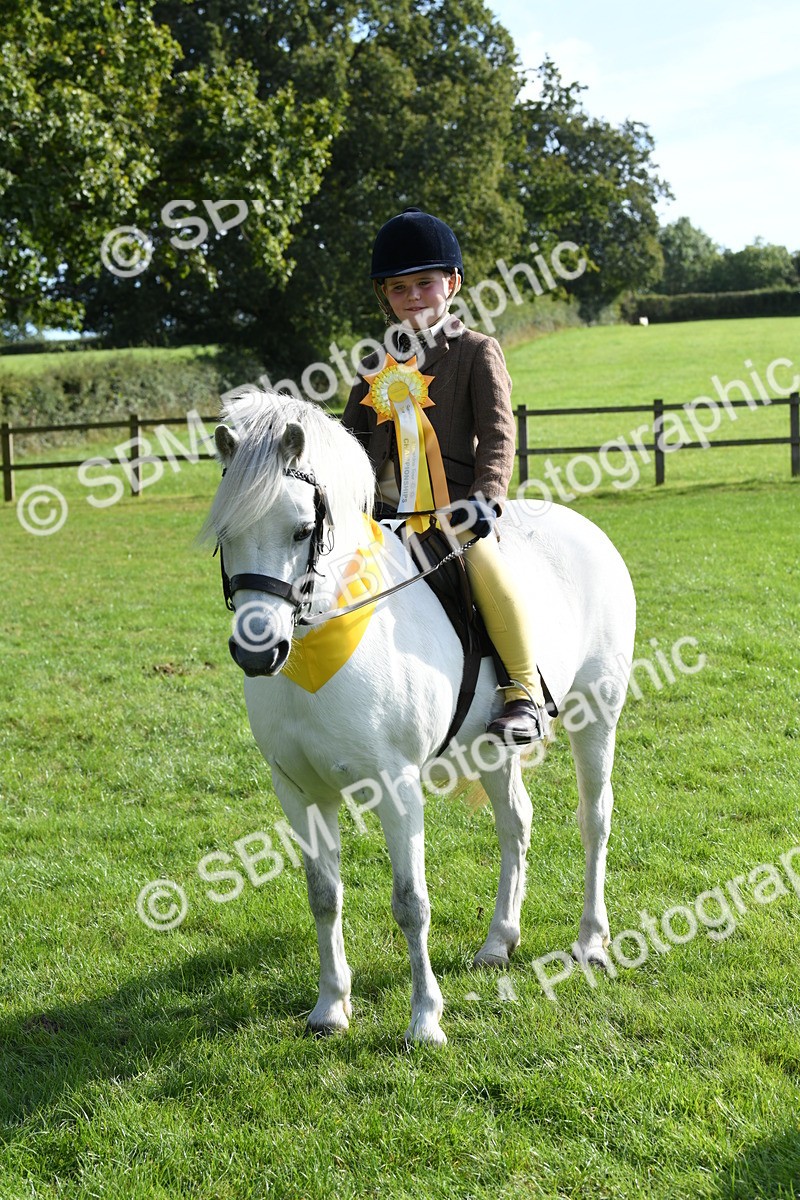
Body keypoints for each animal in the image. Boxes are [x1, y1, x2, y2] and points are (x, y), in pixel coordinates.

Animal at [202, 391, 636, 1045]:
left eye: (302, 529)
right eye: (227, 532)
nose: (258, 652)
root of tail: (585, 530)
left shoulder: (396, 785)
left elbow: (411, 902)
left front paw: (425, 1021)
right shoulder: (298, 789)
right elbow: (323, 895)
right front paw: (330, 1007)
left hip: (597, 715)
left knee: (594, 820)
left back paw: (590, 940)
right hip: (492, 745)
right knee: (516, 823)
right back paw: (498, 942)